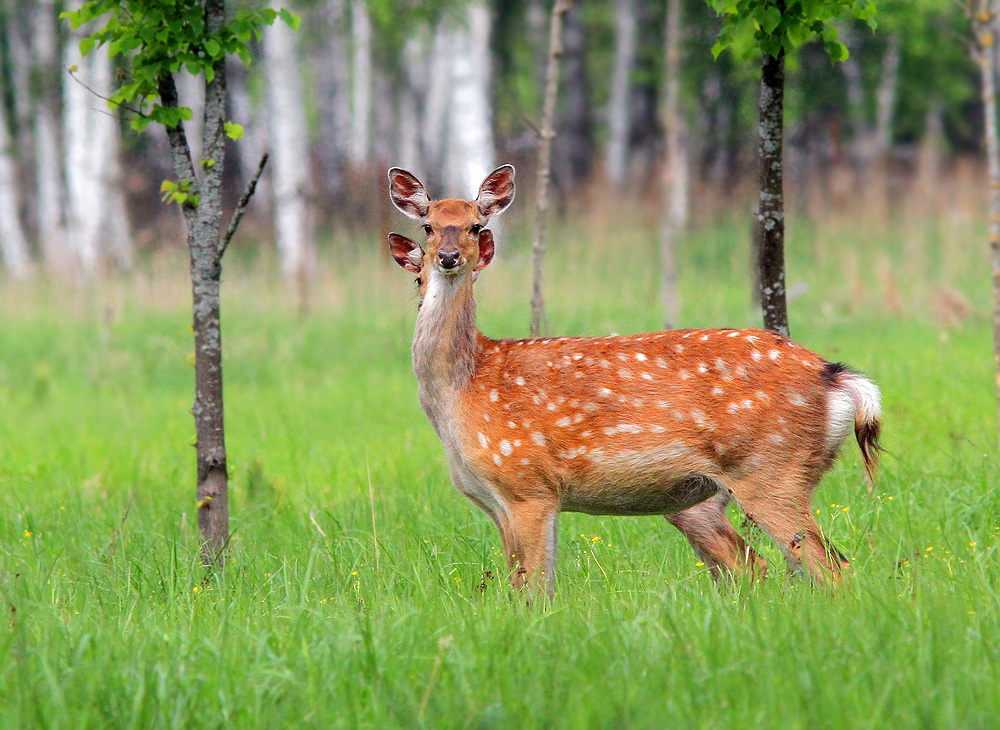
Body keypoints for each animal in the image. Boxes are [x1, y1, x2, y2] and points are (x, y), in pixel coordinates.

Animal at [384, 165, 884, 596]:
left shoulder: (529, 484)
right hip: (716, 494)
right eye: (428, 225)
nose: (449, 257)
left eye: (475, 224)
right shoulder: (495, 500)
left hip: (770, 467)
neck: (465, 388)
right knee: (764, 565)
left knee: (830, 568)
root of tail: (839, 379)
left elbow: (535, 591)